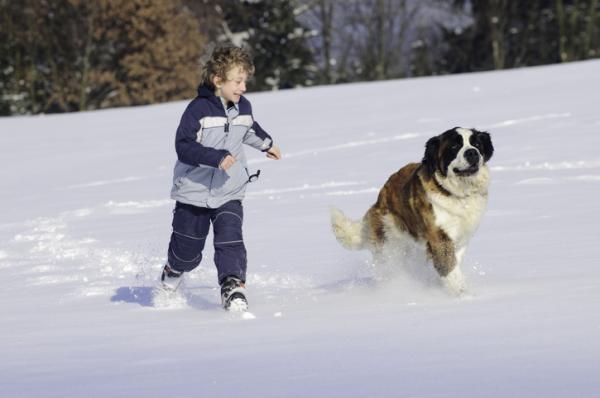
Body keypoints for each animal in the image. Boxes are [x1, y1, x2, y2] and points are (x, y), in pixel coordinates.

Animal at [330, 128, 494, 296]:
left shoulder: (462, 238)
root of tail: (379, 199)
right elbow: (450, 268)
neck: (456, 193)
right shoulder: (440, 238)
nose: (472, 152)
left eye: (477, 144)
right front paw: (463, 295)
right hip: (389, 245)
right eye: (454, 146)